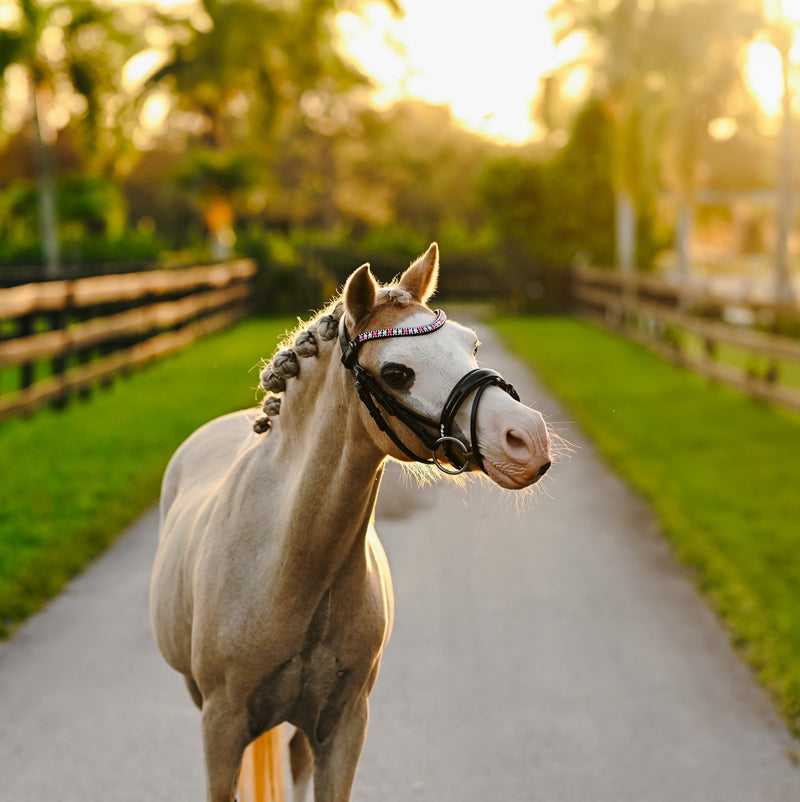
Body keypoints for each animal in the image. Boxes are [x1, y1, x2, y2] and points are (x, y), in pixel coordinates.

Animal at [148, 244, 552, 800]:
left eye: (470, 345)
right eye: (398, 373)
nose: (527, 437)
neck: (288, 563)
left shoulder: (343, 726)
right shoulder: (221, 726)